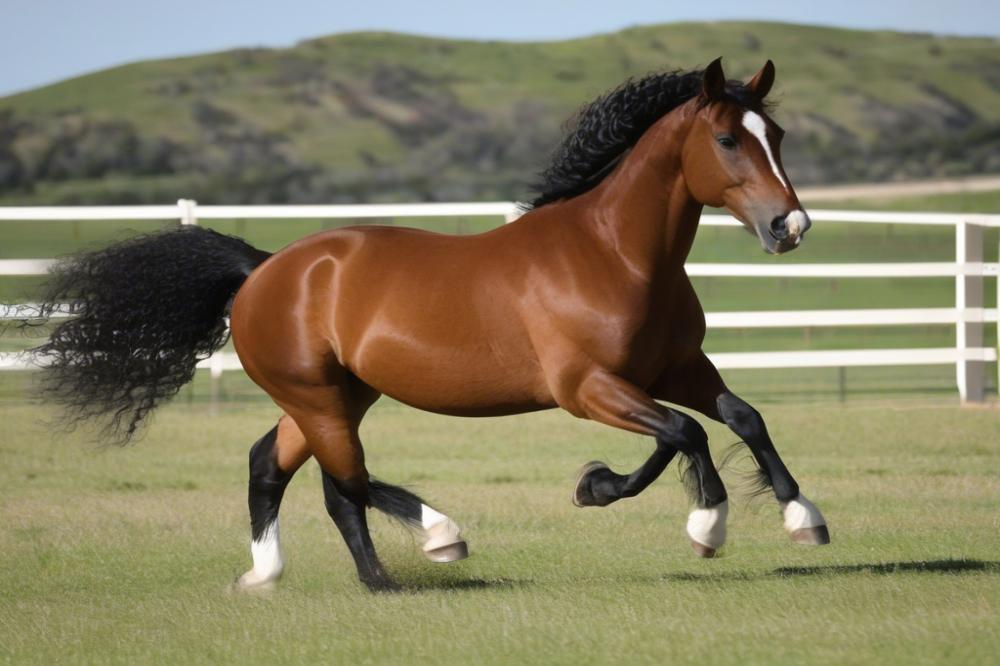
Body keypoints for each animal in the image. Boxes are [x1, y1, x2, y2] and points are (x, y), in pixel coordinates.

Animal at [29, 58, 828, 592]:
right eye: (727, 141)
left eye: (777, 132)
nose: (789, 226)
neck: (615, 255)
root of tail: (263, 269)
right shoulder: (587, 388)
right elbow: (684, 435)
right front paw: (689, 521)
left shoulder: (679, 369)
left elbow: (742, 418)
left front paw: (803, 518)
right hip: (318, 397)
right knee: (343, 481)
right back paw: (432, 544)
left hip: (336, 394)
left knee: (275, 467)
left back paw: (274, 574)